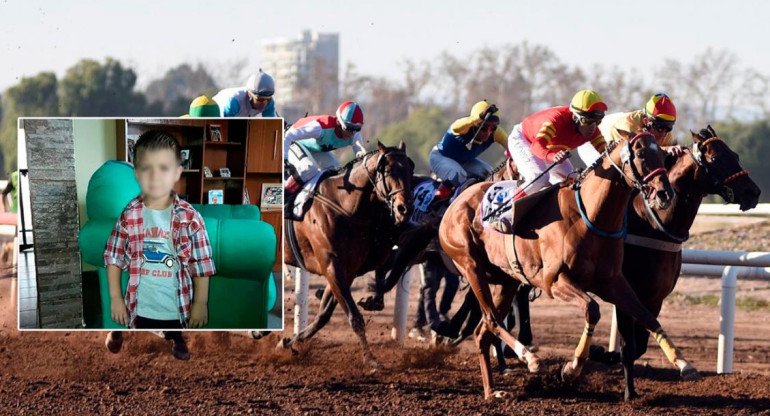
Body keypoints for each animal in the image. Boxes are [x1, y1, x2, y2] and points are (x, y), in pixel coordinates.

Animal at [280, 142, 414, 368]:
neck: (343, 206)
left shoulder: (347, 271)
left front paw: (289, 343)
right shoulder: (332, 268)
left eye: (411, 170)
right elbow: (355, 317)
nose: (405, 209)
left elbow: (323, 315)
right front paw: (370, 360)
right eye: (389, 171)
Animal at [438, 134, 696, 400]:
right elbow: (592, 309)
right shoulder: (555, 281)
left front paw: (683, 363)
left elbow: (646, 316)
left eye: (663, 156)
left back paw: (492, 391)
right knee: (491, 319)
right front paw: (571, 368)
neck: (590, 216)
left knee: (483, 331)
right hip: (471, 266)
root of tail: (456, 202)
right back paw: (530, 359)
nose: (665, 194)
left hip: (505, 280)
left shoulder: (613, 282)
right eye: (642, 154)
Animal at [584, 126, 760, 400]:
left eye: (735, 155)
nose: (752, 192)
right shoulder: (623, 292)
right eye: (715, 159)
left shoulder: (655, 297)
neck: (653, 225)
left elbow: (640, 344)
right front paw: (628, 391)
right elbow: (629, 347)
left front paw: (603, 353)